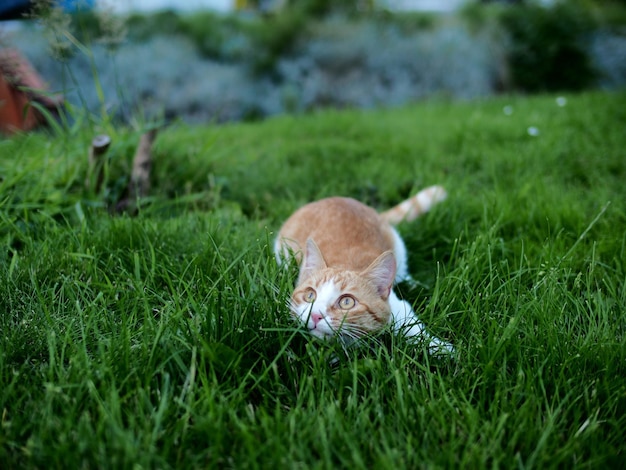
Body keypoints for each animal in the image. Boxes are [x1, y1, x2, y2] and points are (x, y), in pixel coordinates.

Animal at [272, 184, 448, 352]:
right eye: (310, 295)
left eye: (347, 302)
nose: (315, 315)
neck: (344, 264)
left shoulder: (399, 309)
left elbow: (415, 330)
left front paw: (442, 349)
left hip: (398, 247)